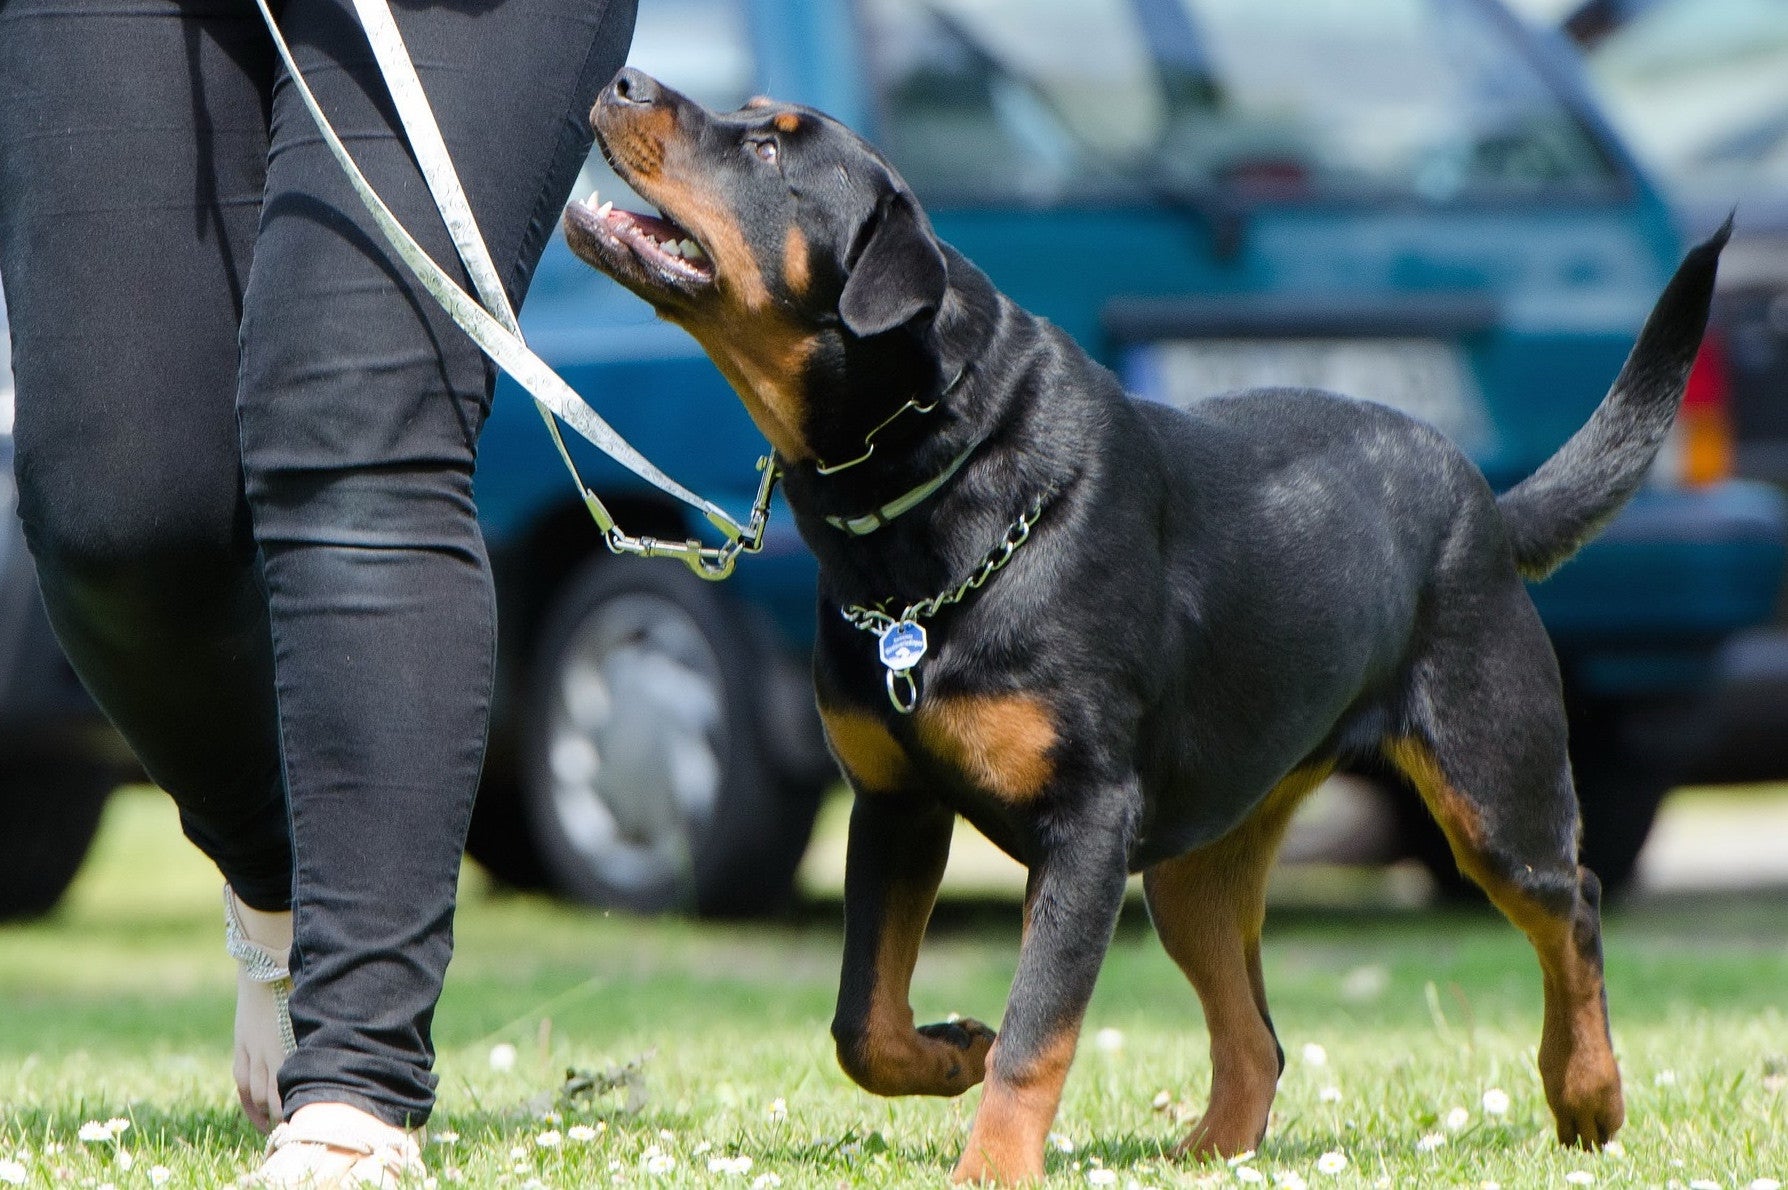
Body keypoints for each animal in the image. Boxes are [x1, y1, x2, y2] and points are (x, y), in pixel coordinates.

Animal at [565, 69, 1723, 1179]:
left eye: (769, 149)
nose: (623, 80)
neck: (928, 490)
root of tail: (1487, 500)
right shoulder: (894, 802)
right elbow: (864, 1022)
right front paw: (952, 1050)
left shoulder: (1085, 825)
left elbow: (1038, 1031)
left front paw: (991, 1164)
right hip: (1195, 862)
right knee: (1257, 1033)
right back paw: (1212, 1149)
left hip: (1491, 779)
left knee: (1571, 902)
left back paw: (1587, 1092)